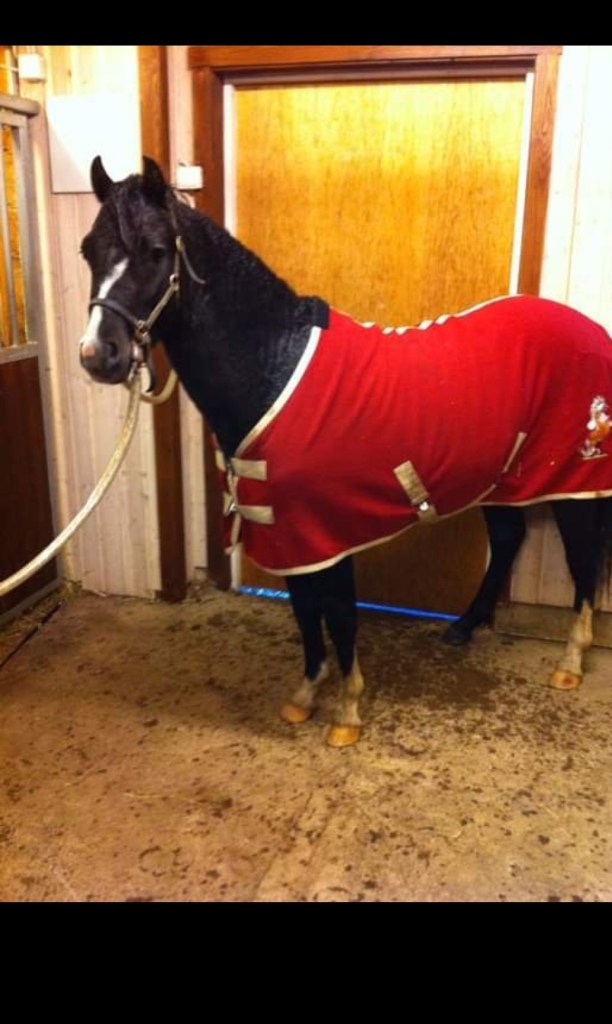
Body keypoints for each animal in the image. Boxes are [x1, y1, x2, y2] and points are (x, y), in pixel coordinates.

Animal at [78, 155, 612, 748]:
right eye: (87, 250)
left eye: (155, 251)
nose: (98, 355)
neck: (274, 366)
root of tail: (592, 329)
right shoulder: (284, 532)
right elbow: (305, 614)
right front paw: (305, 696)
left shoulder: (325, 533)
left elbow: (338, 615)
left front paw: (347, 714)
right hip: (504, 479)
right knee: (509, 539)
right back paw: (465, 628)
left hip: (572, 481)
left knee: (583, 559)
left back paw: (570, 663)